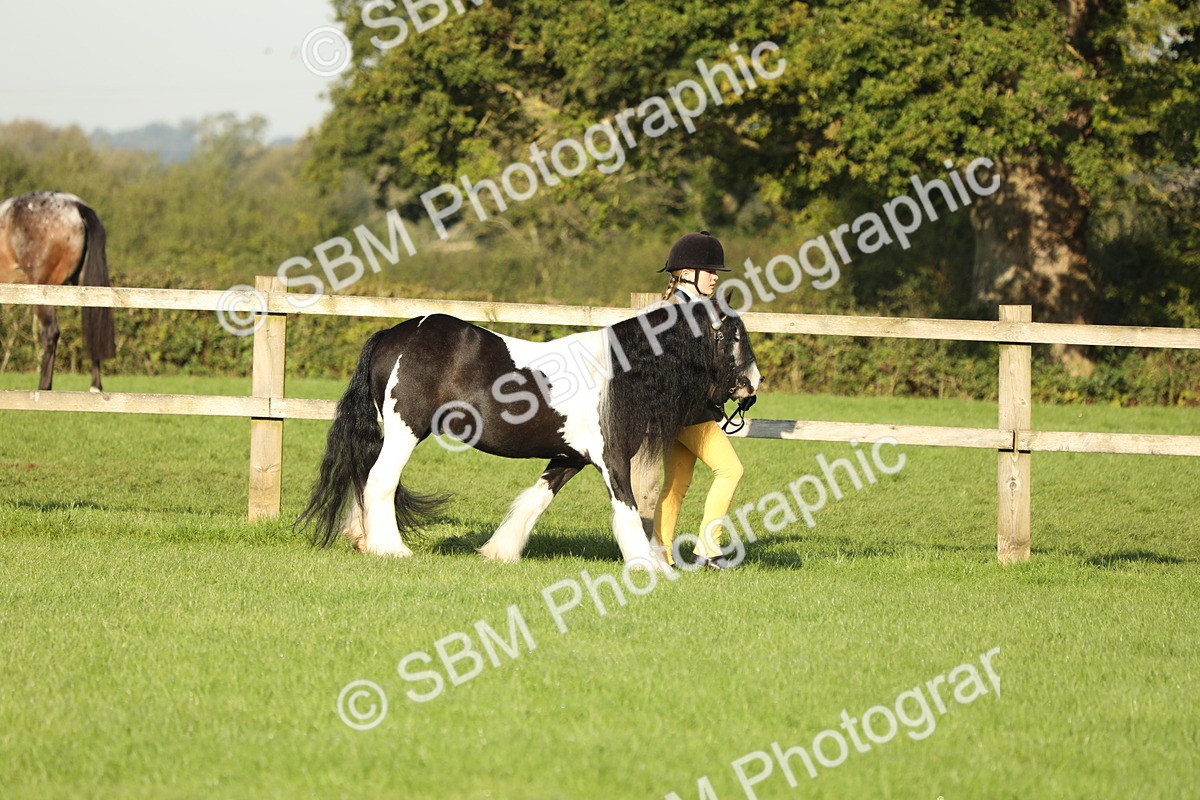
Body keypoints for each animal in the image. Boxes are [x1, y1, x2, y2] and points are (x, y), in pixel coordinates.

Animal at [0, 191, 115, 391]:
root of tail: (75, 205)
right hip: (86, 286)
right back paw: (95, 386)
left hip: (42, 289)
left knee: (50, 333)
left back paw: (44, 387)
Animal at [298, 302, 761, 572]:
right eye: (733, 335)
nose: (754, 384)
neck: (620, 374)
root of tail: (395, 335)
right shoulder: (612, 460)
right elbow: (628, 514)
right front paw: (647, 567)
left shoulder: (570, 458)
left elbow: (534, 501)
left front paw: (498, 552)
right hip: (405, 430)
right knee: (381, 481)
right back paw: (390, 549)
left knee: (365, 478)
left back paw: (362, 540)